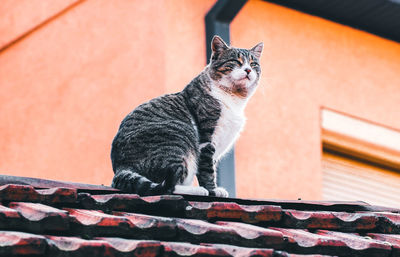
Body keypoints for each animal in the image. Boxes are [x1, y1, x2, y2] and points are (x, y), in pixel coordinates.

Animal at [111, 35, 262, 196]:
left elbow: (212, 167)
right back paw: (197, 190)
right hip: (181, 134)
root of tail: (121, 167)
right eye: (236, 61)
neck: (234, 97)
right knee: (168, 186)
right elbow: (207, 171)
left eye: (253, 64)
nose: (248, 69)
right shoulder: (206, 140)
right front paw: (212, 190)